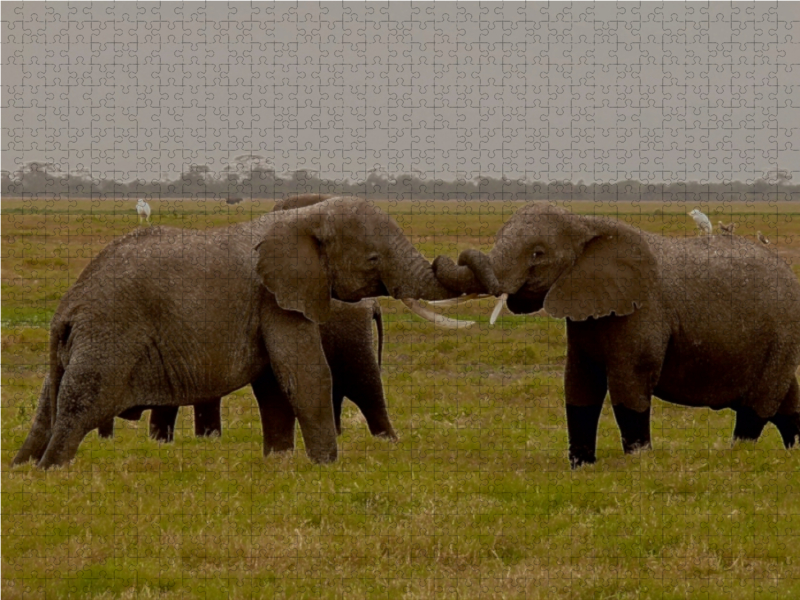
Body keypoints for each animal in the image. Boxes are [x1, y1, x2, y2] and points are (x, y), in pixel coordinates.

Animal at [15, 197, 460, 468]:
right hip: (108, 336)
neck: (303, 217)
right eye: (372, 259)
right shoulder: (275, 296)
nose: (449, 259)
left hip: (83, 344)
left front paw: (279, 462)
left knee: (50, 407)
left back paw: (24, 468)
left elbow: (276, 385)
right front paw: (327, 467)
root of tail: (67, 307)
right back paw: (51, 470)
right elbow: (306, 375)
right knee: (79, 407)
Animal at [434, 202, 800, 468]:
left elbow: (629, 384)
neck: (585, 224)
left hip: (783, 333)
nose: (439, 259)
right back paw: (792, 452)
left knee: (758, 406)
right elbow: (579, 385)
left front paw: (638, 461)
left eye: (538, 254)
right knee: (788, 400)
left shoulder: (643, 311)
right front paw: (582, 467)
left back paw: (736, 455)